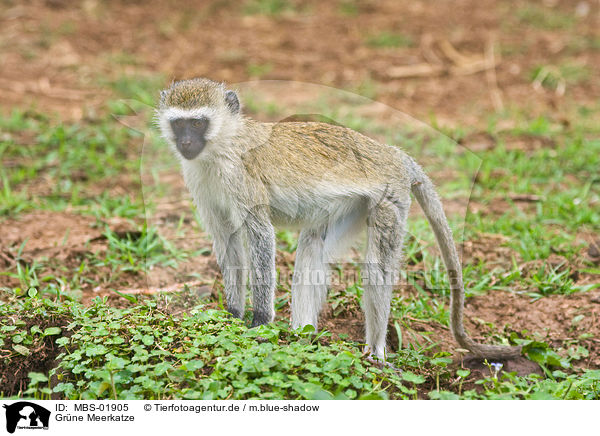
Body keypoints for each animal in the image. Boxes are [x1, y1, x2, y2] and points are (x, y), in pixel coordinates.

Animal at [157, 78, 524, 362]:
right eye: (179, 123)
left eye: (198, 123)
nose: (186, 142)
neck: (221, 147)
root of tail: (393, 154)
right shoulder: (201, 182)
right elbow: (228, 240)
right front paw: (232, 314)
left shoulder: (240, 178)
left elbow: (260, 236)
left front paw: (259, 321)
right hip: (351, 206)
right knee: (312, 249)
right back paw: (302, 337)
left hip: (390, 198)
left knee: (376, 269)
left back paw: (376, 353)